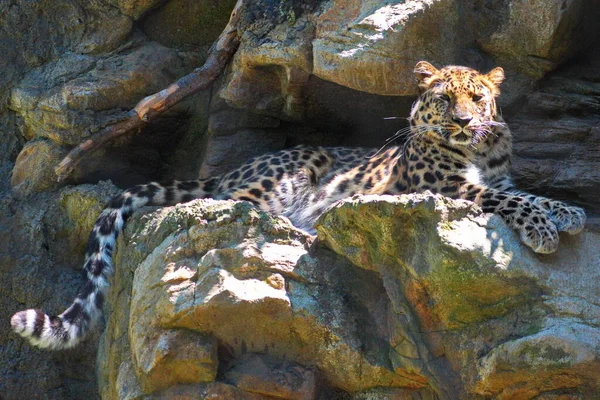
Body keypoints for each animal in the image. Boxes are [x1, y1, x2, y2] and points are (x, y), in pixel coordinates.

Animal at [10, 60, 584, 350]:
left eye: (477, 98)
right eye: (446, 98)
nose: (464, 122)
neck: (481, 151)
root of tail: (227, 169)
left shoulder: (492, 174)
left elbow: (518, 190)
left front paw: (568, 212)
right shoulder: (446, 187)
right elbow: (505, 198)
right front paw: (547, 225)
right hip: (283, 174)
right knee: (221, 205)